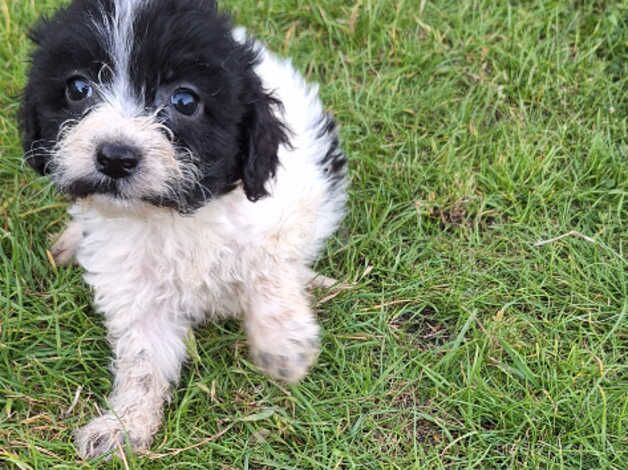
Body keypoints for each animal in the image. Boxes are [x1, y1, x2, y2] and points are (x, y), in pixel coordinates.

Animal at [19, 0, 346, 458]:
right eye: (78, 89)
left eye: (185, 100)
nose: (115, 157)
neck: (172, 215)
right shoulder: (135, 289)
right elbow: (143, 360)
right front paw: (125, 425)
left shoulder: (282, 207)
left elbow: (269, 265)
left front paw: (284, 343)